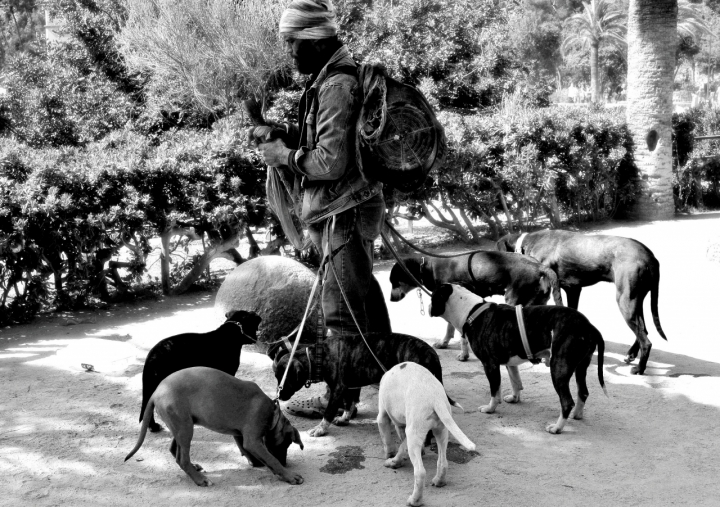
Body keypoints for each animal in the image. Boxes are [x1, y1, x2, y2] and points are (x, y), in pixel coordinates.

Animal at [125, 368, 302, 486]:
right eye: (287, 444)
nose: (286, 463)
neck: (272, 413)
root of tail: (156, 391)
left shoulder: (240, 435)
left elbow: (250, 451)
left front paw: (262, 464)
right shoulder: (252, 440)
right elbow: (271, 459)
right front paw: (289, 475)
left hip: (181, 425)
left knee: (175, 451)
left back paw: (194, 467)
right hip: (185, 427)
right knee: (182, 459)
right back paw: (199, 479)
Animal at [380, 364, 476, 506]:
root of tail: (435, 397)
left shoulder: (385, 417)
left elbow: (389, 441)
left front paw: (391, 458)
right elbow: (403, 446)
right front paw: (396, 460)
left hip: (414, 431)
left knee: (420, 472)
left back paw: (415, 500)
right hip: (441, 430)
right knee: (443, 462)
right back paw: (439, 481)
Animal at [388, 252, 564, 360]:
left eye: (394, 281)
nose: (390, 299)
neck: (428, 268)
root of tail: (541, 267)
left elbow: (457, 331)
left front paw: (463, 354)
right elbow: (450, 327)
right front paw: (444, 343)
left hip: (514, 301)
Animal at [428, 284, 608, 434]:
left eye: (432, 297)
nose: (428, 307)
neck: (472, 311)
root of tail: (589, 326)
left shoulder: (490, 364)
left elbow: (495, 390)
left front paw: (490, 408)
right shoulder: (510, 362)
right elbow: (515, 381)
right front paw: (514, 398)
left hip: (559, 368)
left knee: (567, 402)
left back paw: (557, 428)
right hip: (580, 367)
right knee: (582, 392)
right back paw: (576, 415)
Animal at [498, 228, 668, 376]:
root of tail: (650, 257)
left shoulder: (546, 293)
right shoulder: (573, 290)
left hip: (626, 301)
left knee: (646, 341)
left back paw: (640, 368)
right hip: (635, 301)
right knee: (644, 330)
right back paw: (631, 354)